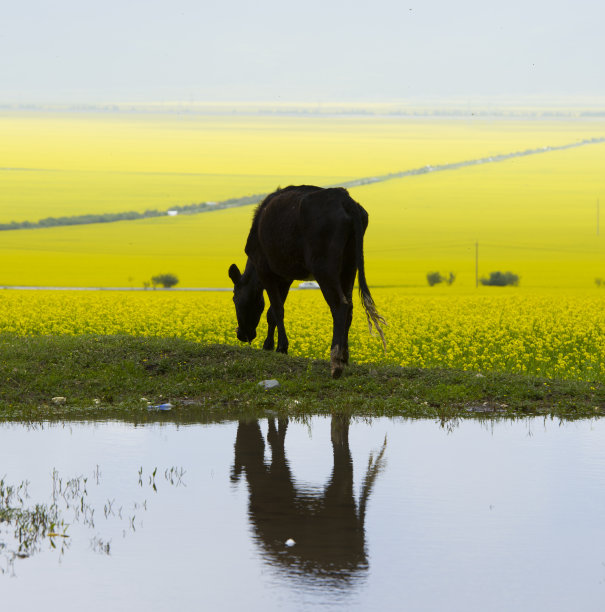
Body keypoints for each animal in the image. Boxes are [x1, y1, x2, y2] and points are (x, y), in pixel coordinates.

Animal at [229, 184, 384, 380]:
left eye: (235, 300)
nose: (241, 335)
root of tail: (344, 197)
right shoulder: (285, 276)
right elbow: (272, 312)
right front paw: (270, 346)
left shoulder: (265, 269)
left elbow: (277, 310)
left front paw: (280, 347)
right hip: (350, 264)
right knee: (349, 306)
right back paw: (345, 358)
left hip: (324, 266)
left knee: (340, 305)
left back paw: (336, 364)